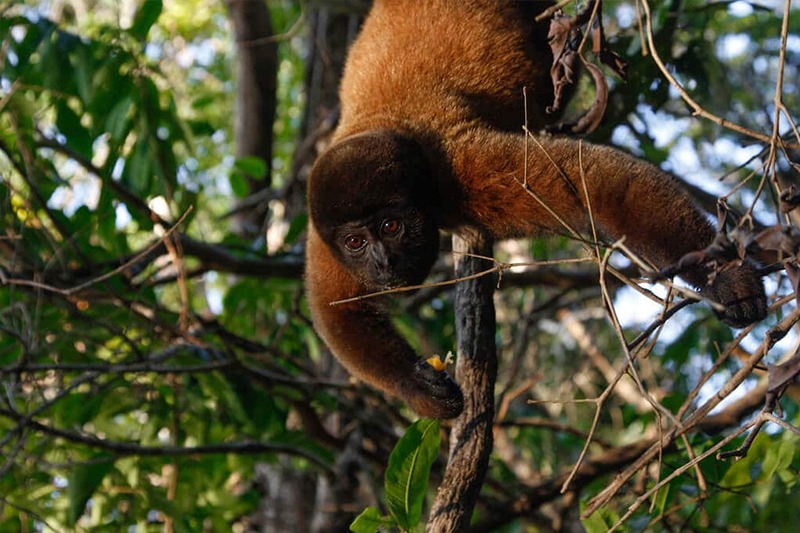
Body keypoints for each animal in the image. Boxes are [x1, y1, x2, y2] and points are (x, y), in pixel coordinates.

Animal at [304, 0, 764, 418]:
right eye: (355, 241)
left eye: (391, 226)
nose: (382, 261)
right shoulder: (322, 238)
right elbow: (337, 313)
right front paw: (414, 386)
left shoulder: (457, 170)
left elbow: (604, 186)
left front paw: (730, 279)